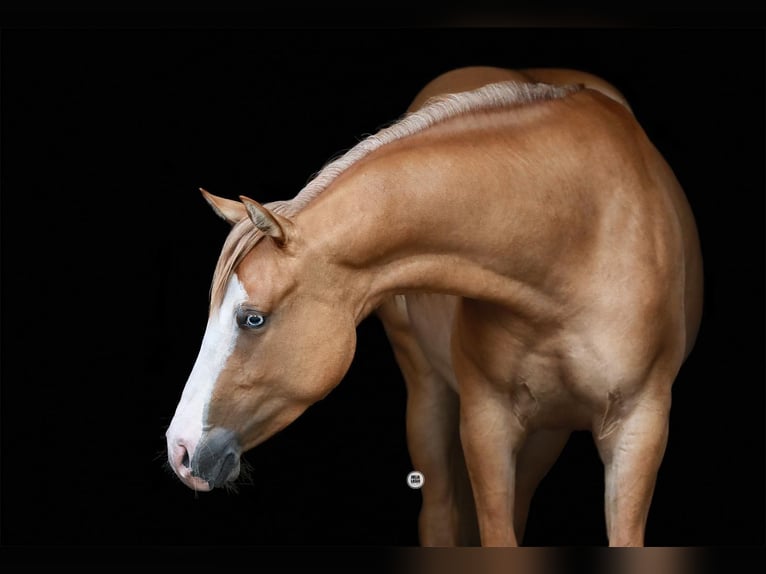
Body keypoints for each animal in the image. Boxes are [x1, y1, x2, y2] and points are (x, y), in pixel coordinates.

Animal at [165, 66, 703, 547]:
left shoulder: (640, 426)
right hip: (429, 398)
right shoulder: (486, 425)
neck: (576, 237)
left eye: (252, 318)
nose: (181, 451)